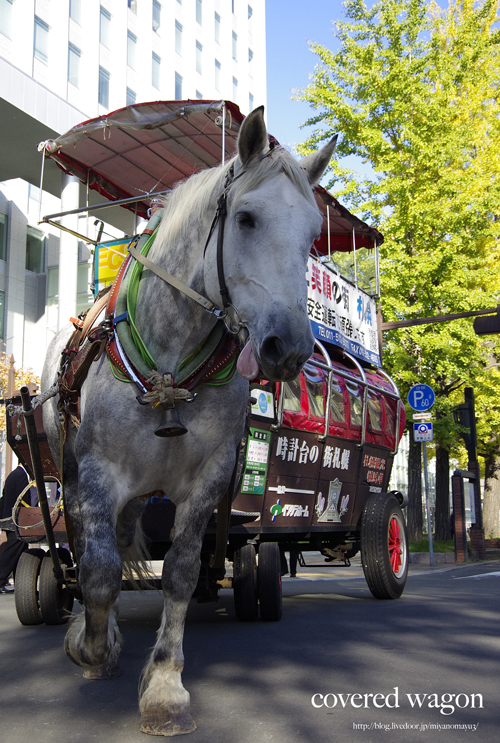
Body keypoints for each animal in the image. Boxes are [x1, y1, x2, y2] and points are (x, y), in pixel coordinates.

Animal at [42, 109, 336, 740]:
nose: (289, 348)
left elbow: (178, 572)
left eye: (311, 238)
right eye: (246, 218)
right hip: (70, 472)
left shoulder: (209, 477)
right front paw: (93, 647)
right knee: (85, 548)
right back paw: (91, 632)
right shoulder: (99, 471)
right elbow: (98, 571)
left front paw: (164, 688)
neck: (171, 363)